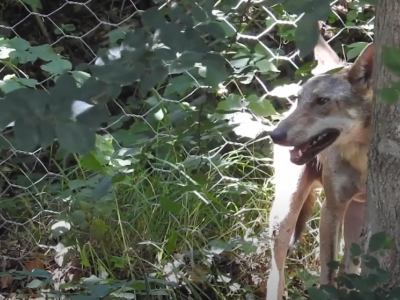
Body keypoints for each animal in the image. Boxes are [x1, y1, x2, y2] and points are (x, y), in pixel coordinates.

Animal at [266, 33, 376, 300]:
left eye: (322, 101)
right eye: (300, 100)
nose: (275, 135)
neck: (361, 158)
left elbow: (344, 273)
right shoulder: (331, 208)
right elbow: (328, 276)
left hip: (356, 215)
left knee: (350, 268)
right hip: (284, 215)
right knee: (276, 272)